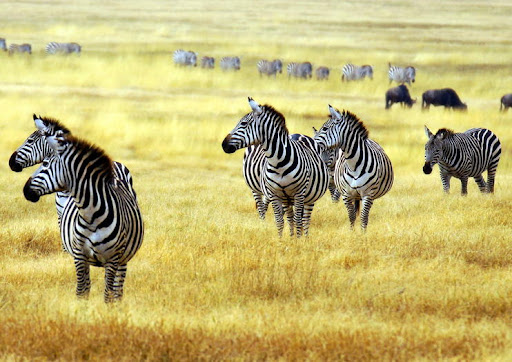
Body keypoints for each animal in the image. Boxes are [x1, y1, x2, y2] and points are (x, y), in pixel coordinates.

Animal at [23, 128, 144, 302]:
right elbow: (81, 291)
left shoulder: (112, 259)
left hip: (123, 259)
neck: (91, 215)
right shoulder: (79, 255)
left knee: (117, 289)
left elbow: (108, 294)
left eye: (45, 164)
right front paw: (81, 309)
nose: (25, 190)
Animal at [223, 96, 328, 238]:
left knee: (305, 219)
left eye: (243, 123)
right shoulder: (275, 194)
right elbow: (279, 220)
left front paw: (298, 240)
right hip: (269, 193)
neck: (278, 162)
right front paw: (281, 239)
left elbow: (298, 220)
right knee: (284, 215)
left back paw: (304, 238)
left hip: (309, 197)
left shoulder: (299, 193)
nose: (223, 145)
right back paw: (291, 236)